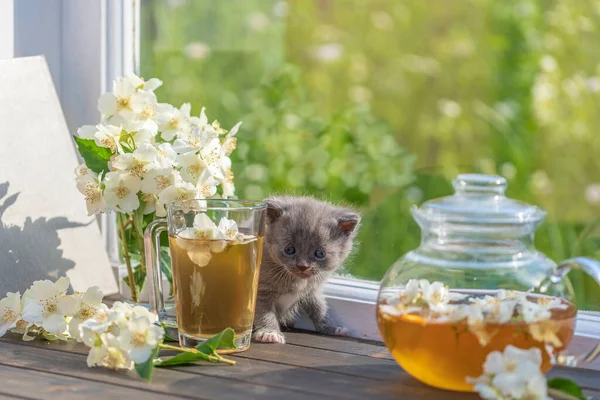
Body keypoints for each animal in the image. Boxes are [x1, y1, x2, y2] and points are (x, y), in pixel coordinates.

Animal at [251, 197, 358, 344]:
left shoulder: (312, 290)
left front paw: (331, 327)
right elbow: (264, 313)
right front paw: (269, 333)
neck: (297, 282)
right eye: (289, 249)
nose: (303, 266)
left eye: (320, 253)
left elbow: (319, 308)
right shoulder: (261, 290)